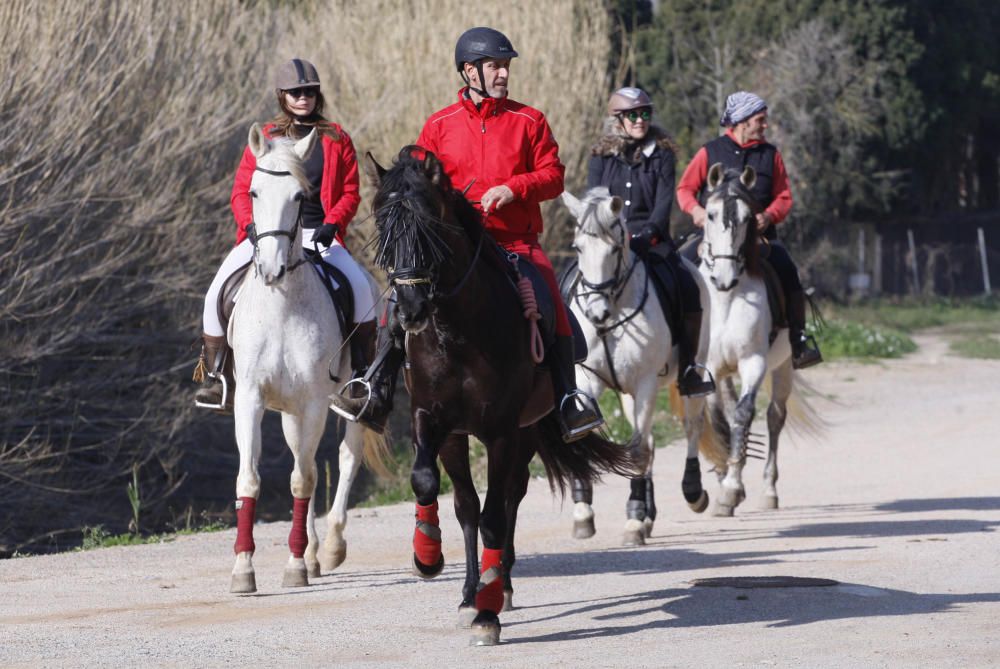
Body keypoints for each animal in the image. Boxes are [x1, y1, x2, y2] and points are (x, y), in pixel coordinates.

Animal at [227, 122, 386, 592]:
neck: (282, 304)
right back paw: (314, 552)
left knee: (345, 459)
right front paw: (243, 569)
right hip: (290, 410)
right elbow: (251, 479)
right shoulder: (251, 398)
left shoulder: (315, 401)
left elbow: (304, 478)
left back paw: (328, 547)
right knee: (309, 460)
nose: (271, 269)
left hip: (347, 400)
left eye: (301, 196)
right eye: (254, 191)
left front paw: (296, 566)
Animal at [370, 149, 640, 644]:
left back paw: (502, 586)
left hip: (527, 432)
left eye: (429, 226)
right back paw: (470, 591)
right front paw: (429, 558)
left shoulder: (500, 430)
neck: (457, 331)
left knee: (511, 497)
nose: (410, 311)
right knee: (471, 505)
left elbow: (495, 514)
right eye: (384, 225)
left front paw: (487, 611)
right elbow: (434, 487)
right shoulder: (433, 420)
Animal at [560, 187, 724, 544]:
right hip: (627, 393)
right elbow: (590, 438)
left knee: (689, 427)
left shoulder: (646, 382)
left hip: (691, 373)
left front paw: (634, 520)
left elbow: (636, 451)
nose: (596, 314)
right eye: (578, 247)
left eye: (614, 248)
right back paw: (649, 514)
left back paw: (692, 493)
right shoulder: (588, 378)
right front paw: (583, 513)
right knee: (649, 442)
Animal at [692, 163, 816, 516]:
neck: (725, 298)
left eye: (749, 217)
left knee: (774, 418)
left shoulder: (754, 362)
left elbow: (744, 414)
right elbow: (720, 421)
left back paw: (768, 491)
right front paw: (725, 479)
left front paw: (731, 489)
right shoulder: (709, 368)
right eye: (710, 214)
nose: (724, 277)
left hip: (783, 366)